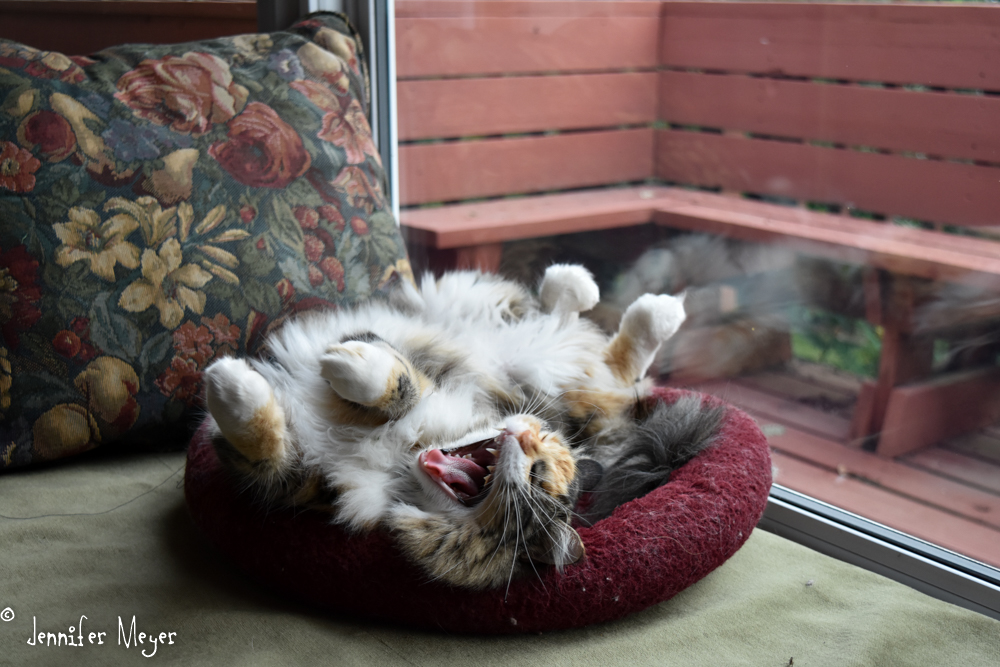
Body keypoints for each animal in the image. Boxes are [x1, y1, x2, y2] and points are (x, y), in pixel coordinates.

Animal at [203, 266, 724, 588]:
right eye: (543, 452)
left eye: (537, 479)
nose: (528, 436)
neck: (400, 456)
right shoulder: (410, 365)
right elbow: (395, 384)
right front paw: (337, 363)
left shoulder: (298, 487)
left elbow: (266, 444)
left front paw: (226, 383)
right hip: (506, 332)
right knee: (580, 330)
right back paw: (593, 287)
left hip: (567, 380)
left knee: (616, 363)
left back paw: (656, 308)